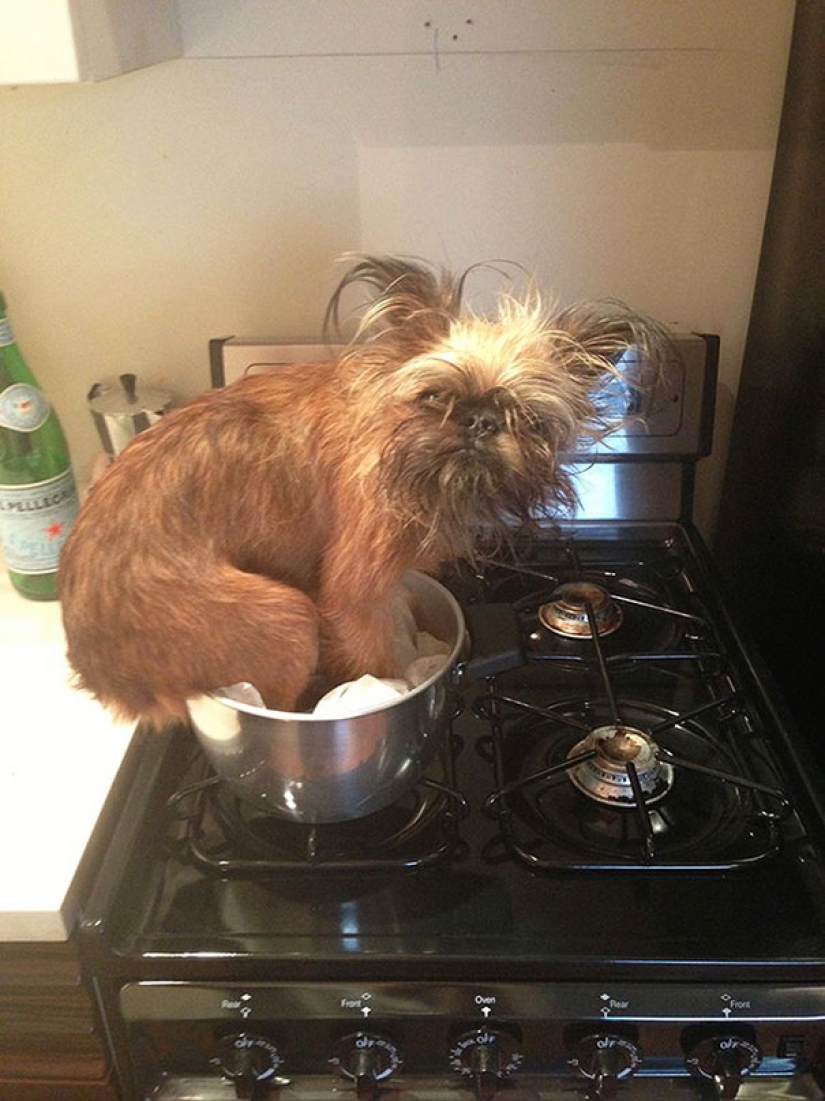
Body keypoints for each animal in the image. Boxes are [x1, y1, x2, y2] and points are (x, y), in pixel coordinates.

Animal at [57, 253, 665, 726]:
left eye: (527, 419)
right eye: (434, 397)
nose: (479, 420)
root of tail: (100, 675)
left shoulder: (386, 586)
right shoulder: (355, 596)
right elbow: (379, 661)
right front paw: (389, 691)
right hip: (286, 620)